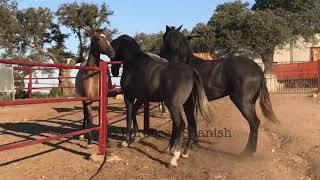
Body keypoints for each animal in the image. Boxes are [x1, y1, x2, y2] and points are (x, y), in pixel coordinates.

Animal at [110, 34, 215, 167]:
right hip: (188, 105)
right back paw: (184, 153)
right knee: (191, 124)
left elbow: (128, 116)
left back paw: (174, 157)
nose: (114, 72)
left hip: (174, 105)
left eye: (113, 51)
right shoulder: (142, 98)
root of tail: (191, 71)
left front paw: (126, 141)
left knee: (181, 124)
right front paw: (137, 136)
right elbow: (133, 112)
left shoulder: (128, 97)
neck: (134, 64)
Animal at [160, 25, 278, 156]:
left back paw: (248, 153)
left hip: (242, 102)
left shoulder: (187, 103)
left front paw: (184, 149)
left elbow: (187, 123)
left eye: (165, 37)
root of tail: (257, 69)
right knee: (254, 124)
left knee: (254, 123)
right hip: (250, 102)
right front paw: (192, 144)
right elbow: (192, 123)